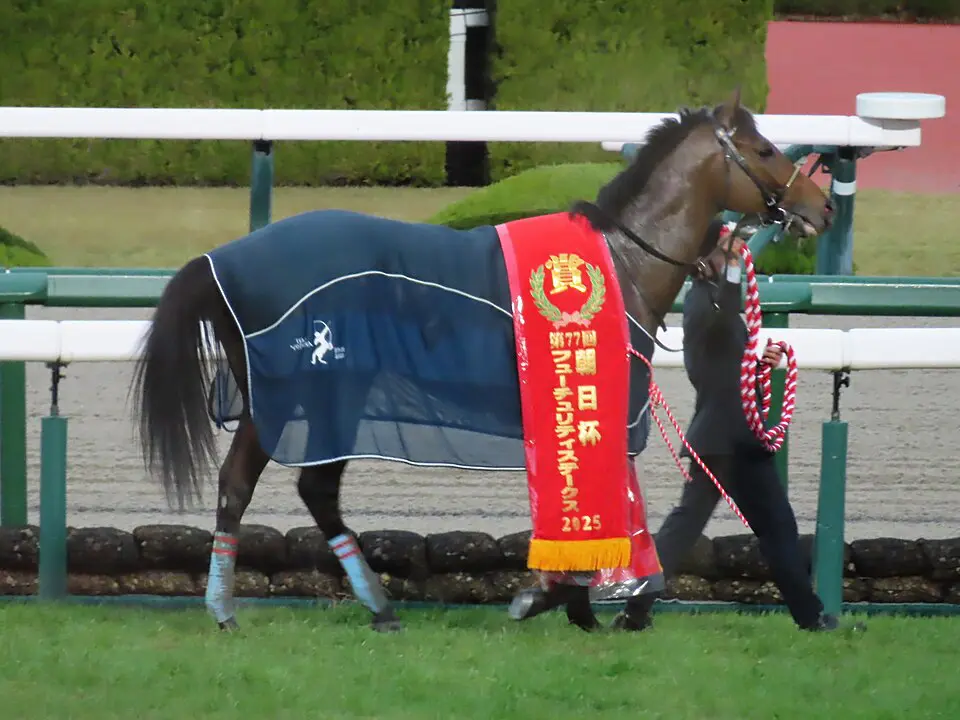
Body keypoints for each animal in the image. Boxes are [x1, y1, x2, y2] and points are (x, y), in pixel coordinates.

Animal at [130, 88, 833, 633]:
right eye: (765, 149)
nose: (820, 205)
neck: (619, 263)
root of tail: (222, 259)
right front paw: (559, 597)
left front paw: (570, 599)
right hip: (319, 392)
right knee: (291, 489)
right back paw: (304, 605)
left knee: (257, 487)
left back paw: (306, 607)